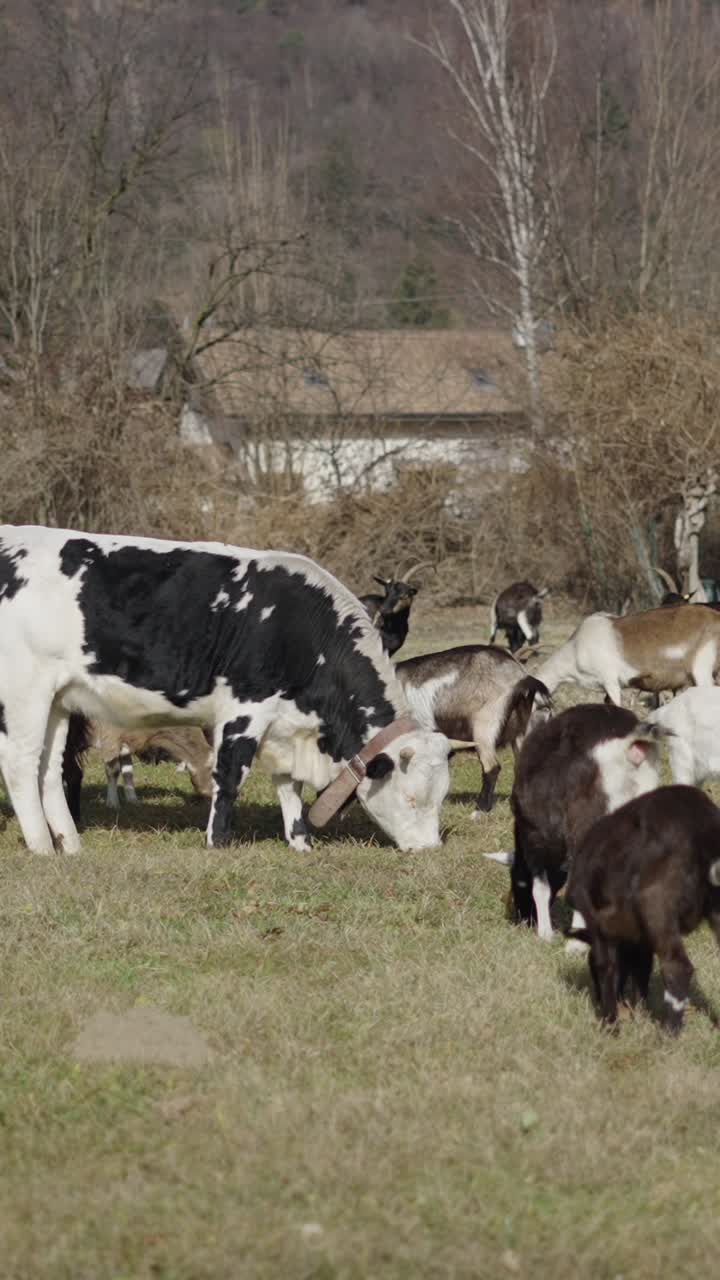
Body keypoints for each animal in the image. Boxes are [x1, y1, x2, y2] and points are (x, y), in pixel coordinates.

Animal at [0, 526, 451, 855]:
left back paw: (70, 844)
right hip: (25, 693)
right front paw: (217, 842)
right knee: (21, 763)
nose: (429, 849)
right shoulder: (245, 709)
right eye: (413, 798)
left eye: (441, 797)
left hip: (59, 701)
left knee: (49, 768)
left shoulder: (286, 726)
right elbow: (231, 774)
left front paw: (300, 843)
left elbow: (289, 785)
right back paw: (42, 848)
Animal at [486, 704, 663, 941]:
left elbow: (540, 887)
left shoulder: (533, 836)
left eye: (516, 880)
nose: (525, 919)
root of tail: (631, 739)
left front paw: (545, 934)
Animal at [566, 786, 720, 1032]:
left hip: (656, 904)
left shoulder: (597, 923)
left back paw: (668, 1032)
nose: (597, 999)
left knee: (677, 967)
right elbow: (642, 967)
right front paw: (637, 1012)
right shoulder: (641, 937)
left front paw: (610, 1024)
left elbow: (606, 965)